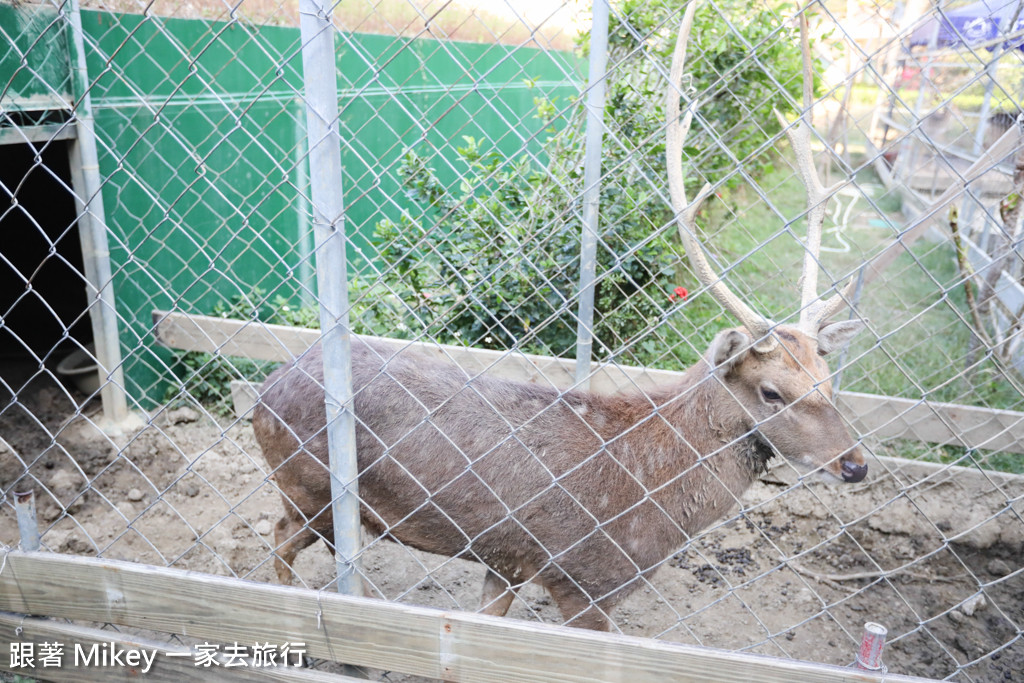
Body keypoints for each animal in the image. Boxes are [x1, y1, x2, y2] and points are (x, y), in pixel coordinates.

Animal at [251, 2, 868, 634]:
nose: (855, 466)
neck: (653, 502)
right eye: (772, 392)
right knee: (276, 539)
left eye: (829, 380)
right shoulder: (585, 578)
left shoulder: (506, 559)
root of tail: (263, 391)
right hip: (309, 489)